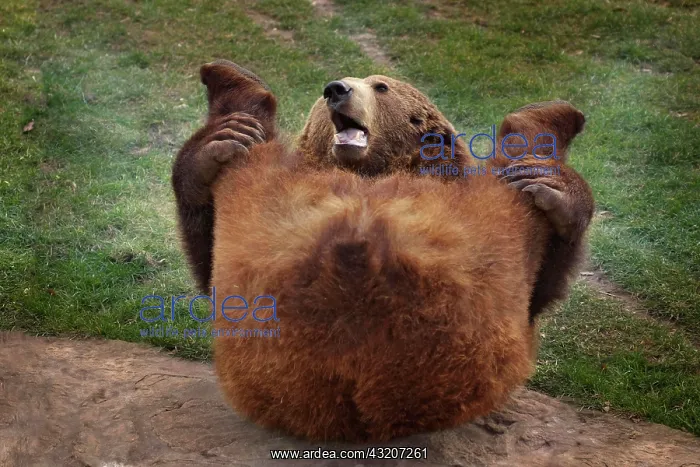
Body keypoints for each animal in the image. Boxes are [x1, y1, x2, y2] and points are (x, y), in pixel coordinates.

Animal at [171, 61, 594, 441]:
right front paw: (209, 152)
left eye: (381, 86)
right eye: (330, 90)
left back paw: (543, 144)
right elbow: (208, 267)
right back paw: (232, 111)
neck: (371, 171)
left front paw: (557, 189)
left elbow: (540, 293)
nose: (336, 89)